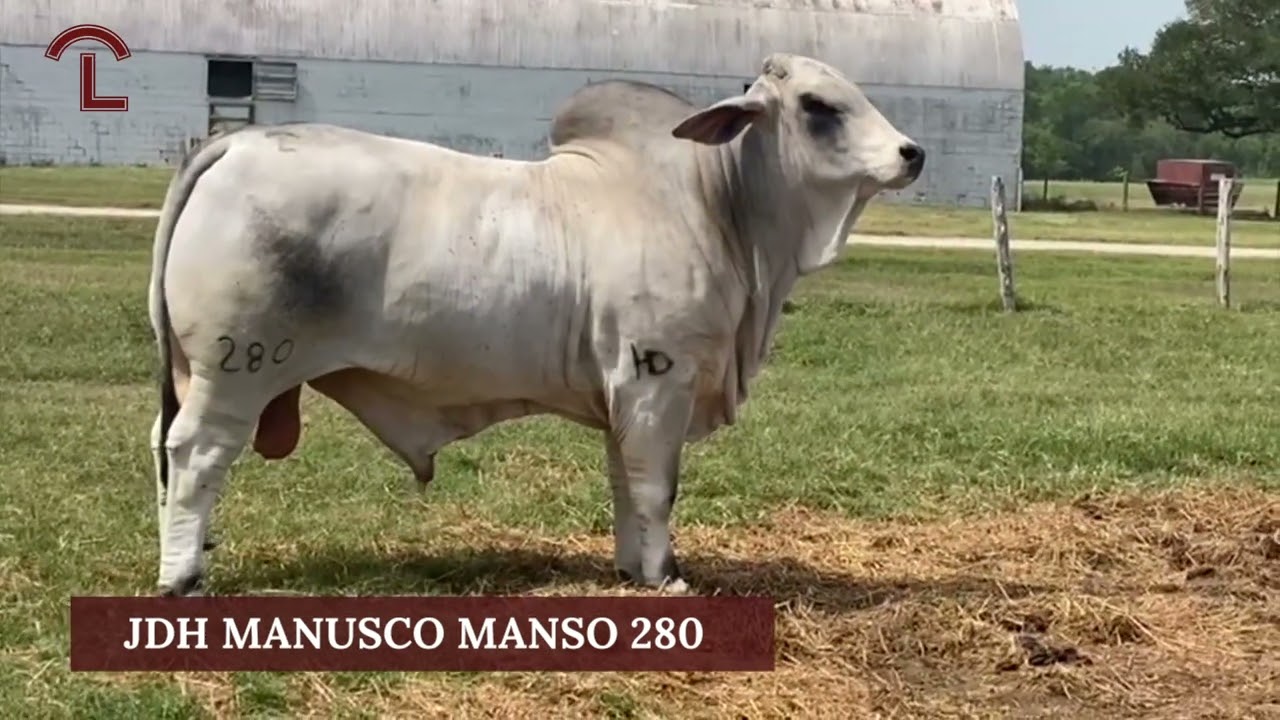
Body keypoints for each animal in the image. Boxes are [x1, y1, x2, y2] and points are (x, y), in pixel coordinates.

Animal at [147, 52, 925, 597]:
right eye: (819, 105)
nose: (911, 152)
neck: (717, 206)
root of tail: (235, 145)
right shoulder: (657, 378)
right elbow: (656, 485)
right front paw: (665, 576)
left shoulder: (625, 396)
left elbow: (625, 482)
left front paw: (631, 568)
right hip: (236, 367)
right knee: (196, 455)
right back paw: (182, 575)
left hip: (194, 371)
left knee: (165, 447)